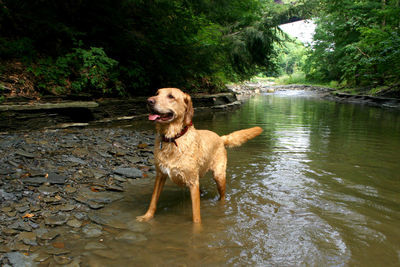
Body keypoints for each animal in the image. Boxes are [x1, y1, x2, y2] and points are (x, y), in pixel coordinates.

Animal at [137, 88, 262, 224]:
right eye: (157, 93)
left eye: (171, 96)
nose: (149, 101)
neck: (173, 139)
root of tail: (221, 138)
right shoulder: (160, 176)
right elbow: (153, 200)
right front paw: (147, 216)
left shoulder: (192, 182)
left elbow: (196, 215)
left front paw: (197, 228)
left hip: (219, 176)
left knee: (222, 196)